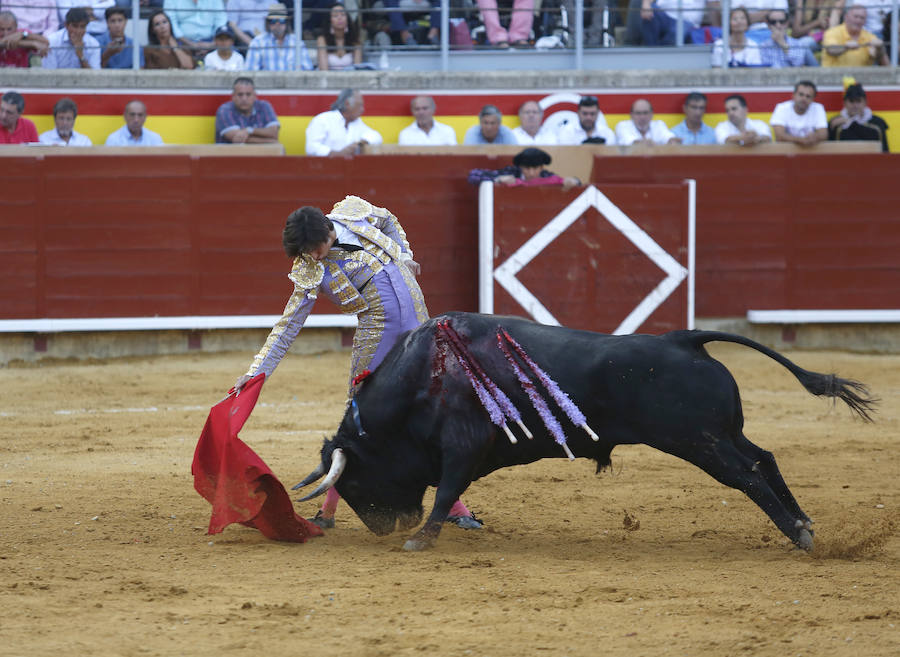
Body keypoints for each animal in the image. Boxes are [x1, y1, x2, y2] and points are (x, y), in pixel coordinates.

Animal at [298, 310, 876, 552]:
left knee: (750, 474)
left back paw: (799, 534)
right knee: (767, 457)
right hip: (722, 433)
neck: (424, 375)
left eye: (353, 482)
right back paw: (804, 523)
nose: (383, 528)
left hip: (701, 442)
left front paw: (421, 539)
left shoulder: (463, 446)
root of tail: (682, 338)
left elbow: (444, 492)